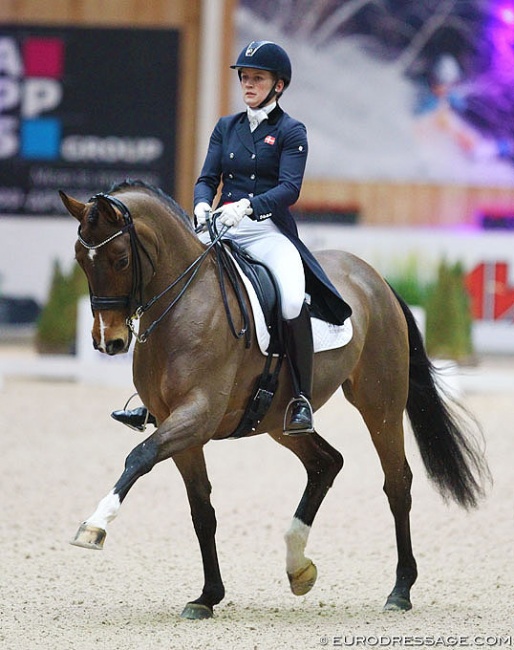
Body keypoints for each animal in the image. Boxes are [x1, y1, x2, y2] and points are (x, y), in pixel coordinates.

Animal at [58, 178, 486, 616]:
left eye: (121, 260)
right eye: (80, 260)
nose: (108, 341)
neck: (184, 304)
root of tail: (373, 278)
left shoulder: (198, 414)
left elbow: (139, 457)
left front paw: (94, 526)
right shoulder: (174, 424)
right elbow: (201, 510)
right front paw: (207, 596)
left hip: (379, 402)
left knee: (396, 482)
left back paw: (400, 590)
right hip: (278, 420)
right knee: (326, 464)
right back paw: (298, 567)